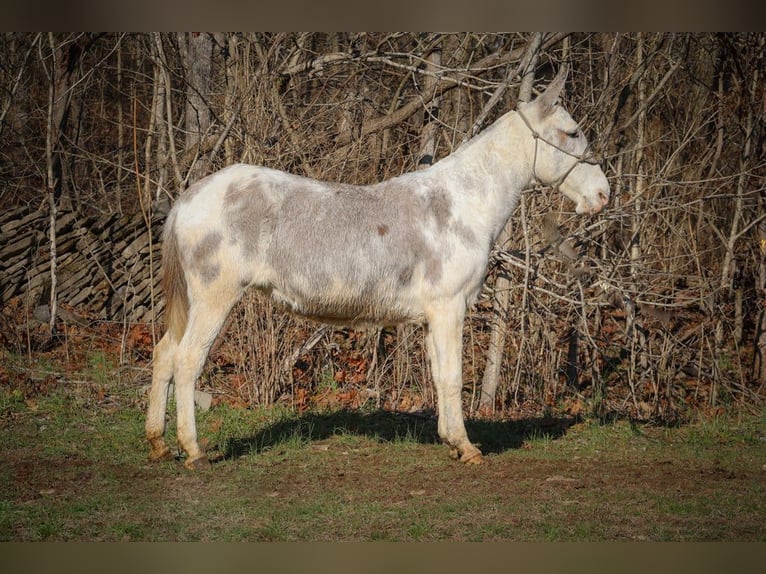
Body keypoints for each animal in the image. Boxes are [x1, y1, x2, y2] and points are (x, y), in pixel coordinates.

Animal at [145, 67, 610, 469]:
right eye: (572, 133)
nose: (604, 194)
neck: (462, 205)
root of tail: (189, 198)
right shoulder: (449, 308)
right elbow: (453, 376)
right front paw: (467, 447)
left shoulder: (432, 316)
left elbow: (438, 376)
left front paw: (450, 440)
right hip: (214, 296)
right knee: (187, 360)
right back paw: (193, 450)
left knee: (164, 353)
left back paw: (159, 443)